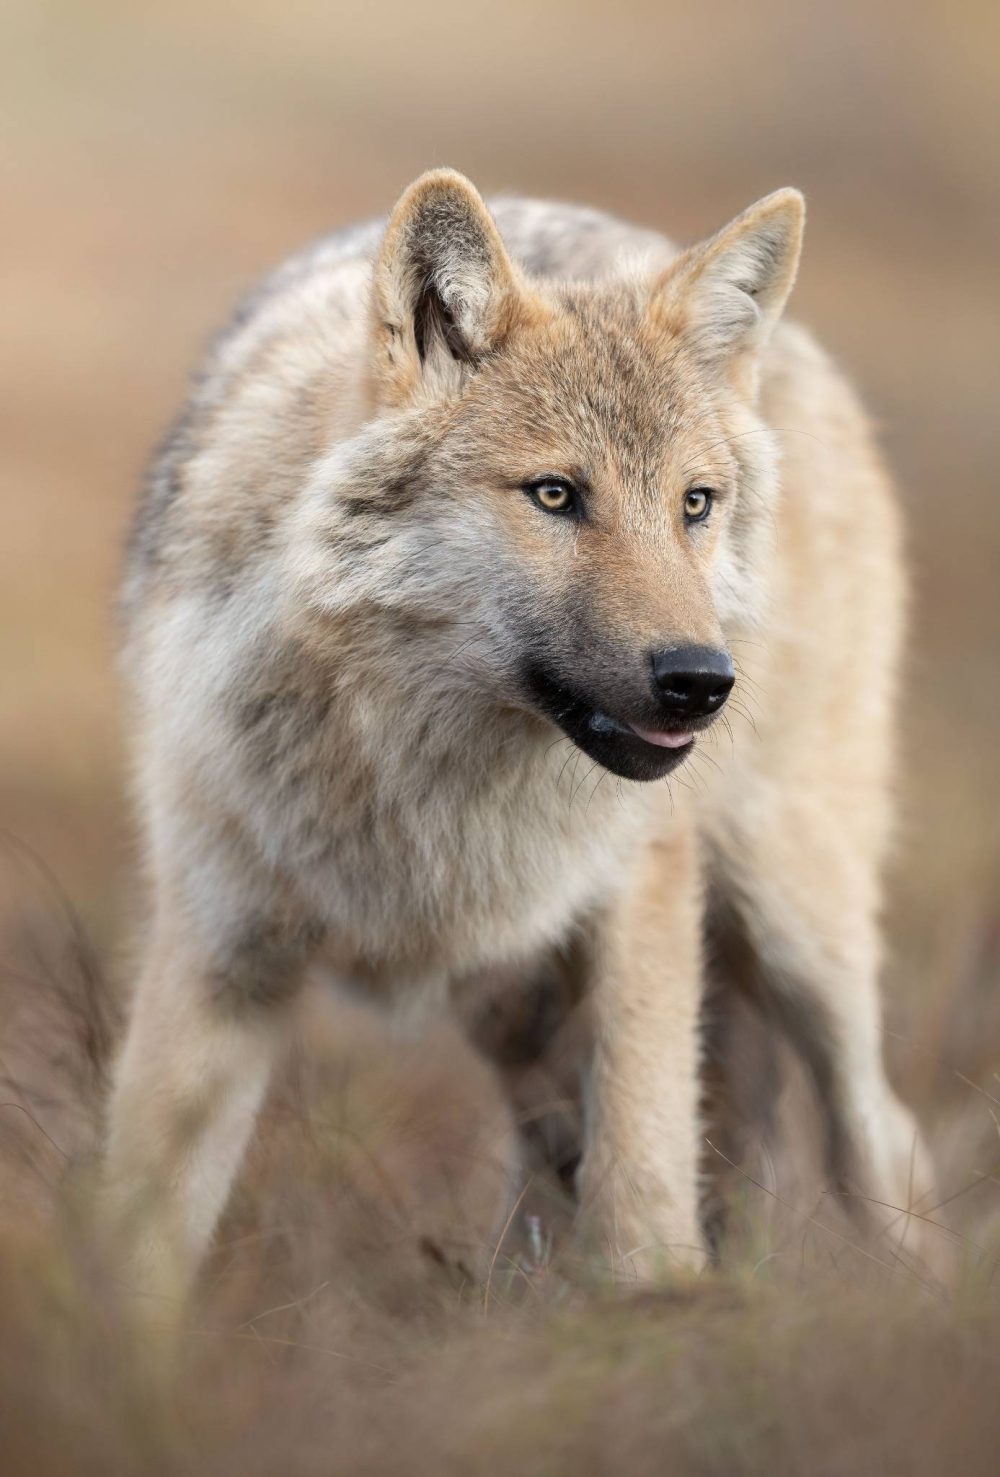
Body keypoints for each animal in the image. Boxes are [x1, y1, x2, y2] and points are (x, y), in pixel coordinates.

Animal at [105, 164, 933, 1293]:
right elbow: (138, 1240)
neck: (426, 780)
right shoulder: (215, 948)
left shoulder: (640, 896)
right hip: (518, 1013)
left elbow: (642, 1182)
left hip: (797, 922)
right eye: (555, 494)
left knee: (880, 1137)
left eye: (694, 504)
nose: (701, 681)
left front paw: (651, 1302)